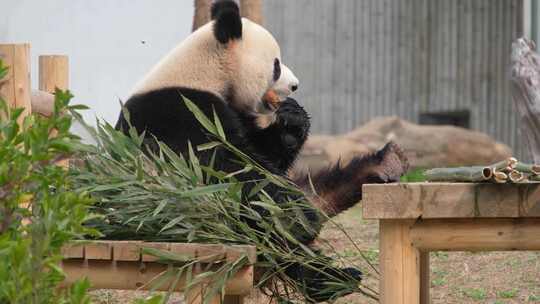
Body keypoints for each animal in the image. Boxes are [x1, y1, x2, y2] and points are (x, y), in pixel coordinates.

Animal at [115, 1, 410, 302]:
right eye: (276, 66)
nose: (295, 85)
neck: (206, 72)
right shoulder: (178, 112)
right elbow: (226, 169)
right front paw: (300, 217)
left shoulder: (237, 112)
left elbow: (266, 154)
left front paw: (293, 119)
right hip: (199, 224)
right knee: (268, 234)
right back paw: (325, 272)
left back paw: (383, 165)